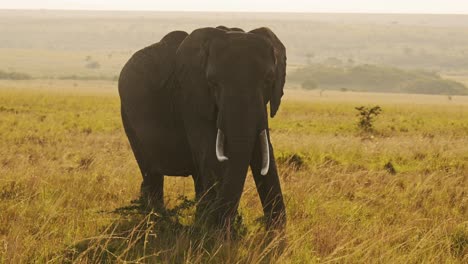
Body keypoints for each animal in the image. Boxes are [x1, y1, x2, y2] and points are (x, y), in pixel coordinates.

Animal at [118, 26, 286, 229]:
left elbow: (263, 152)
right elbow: (211, 156)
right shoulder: (191, 98)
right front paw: (212, 231)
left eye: (269, 80)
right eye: (212, 83)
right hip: (128, 116)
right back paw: (156, 218)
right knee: (151, 171)